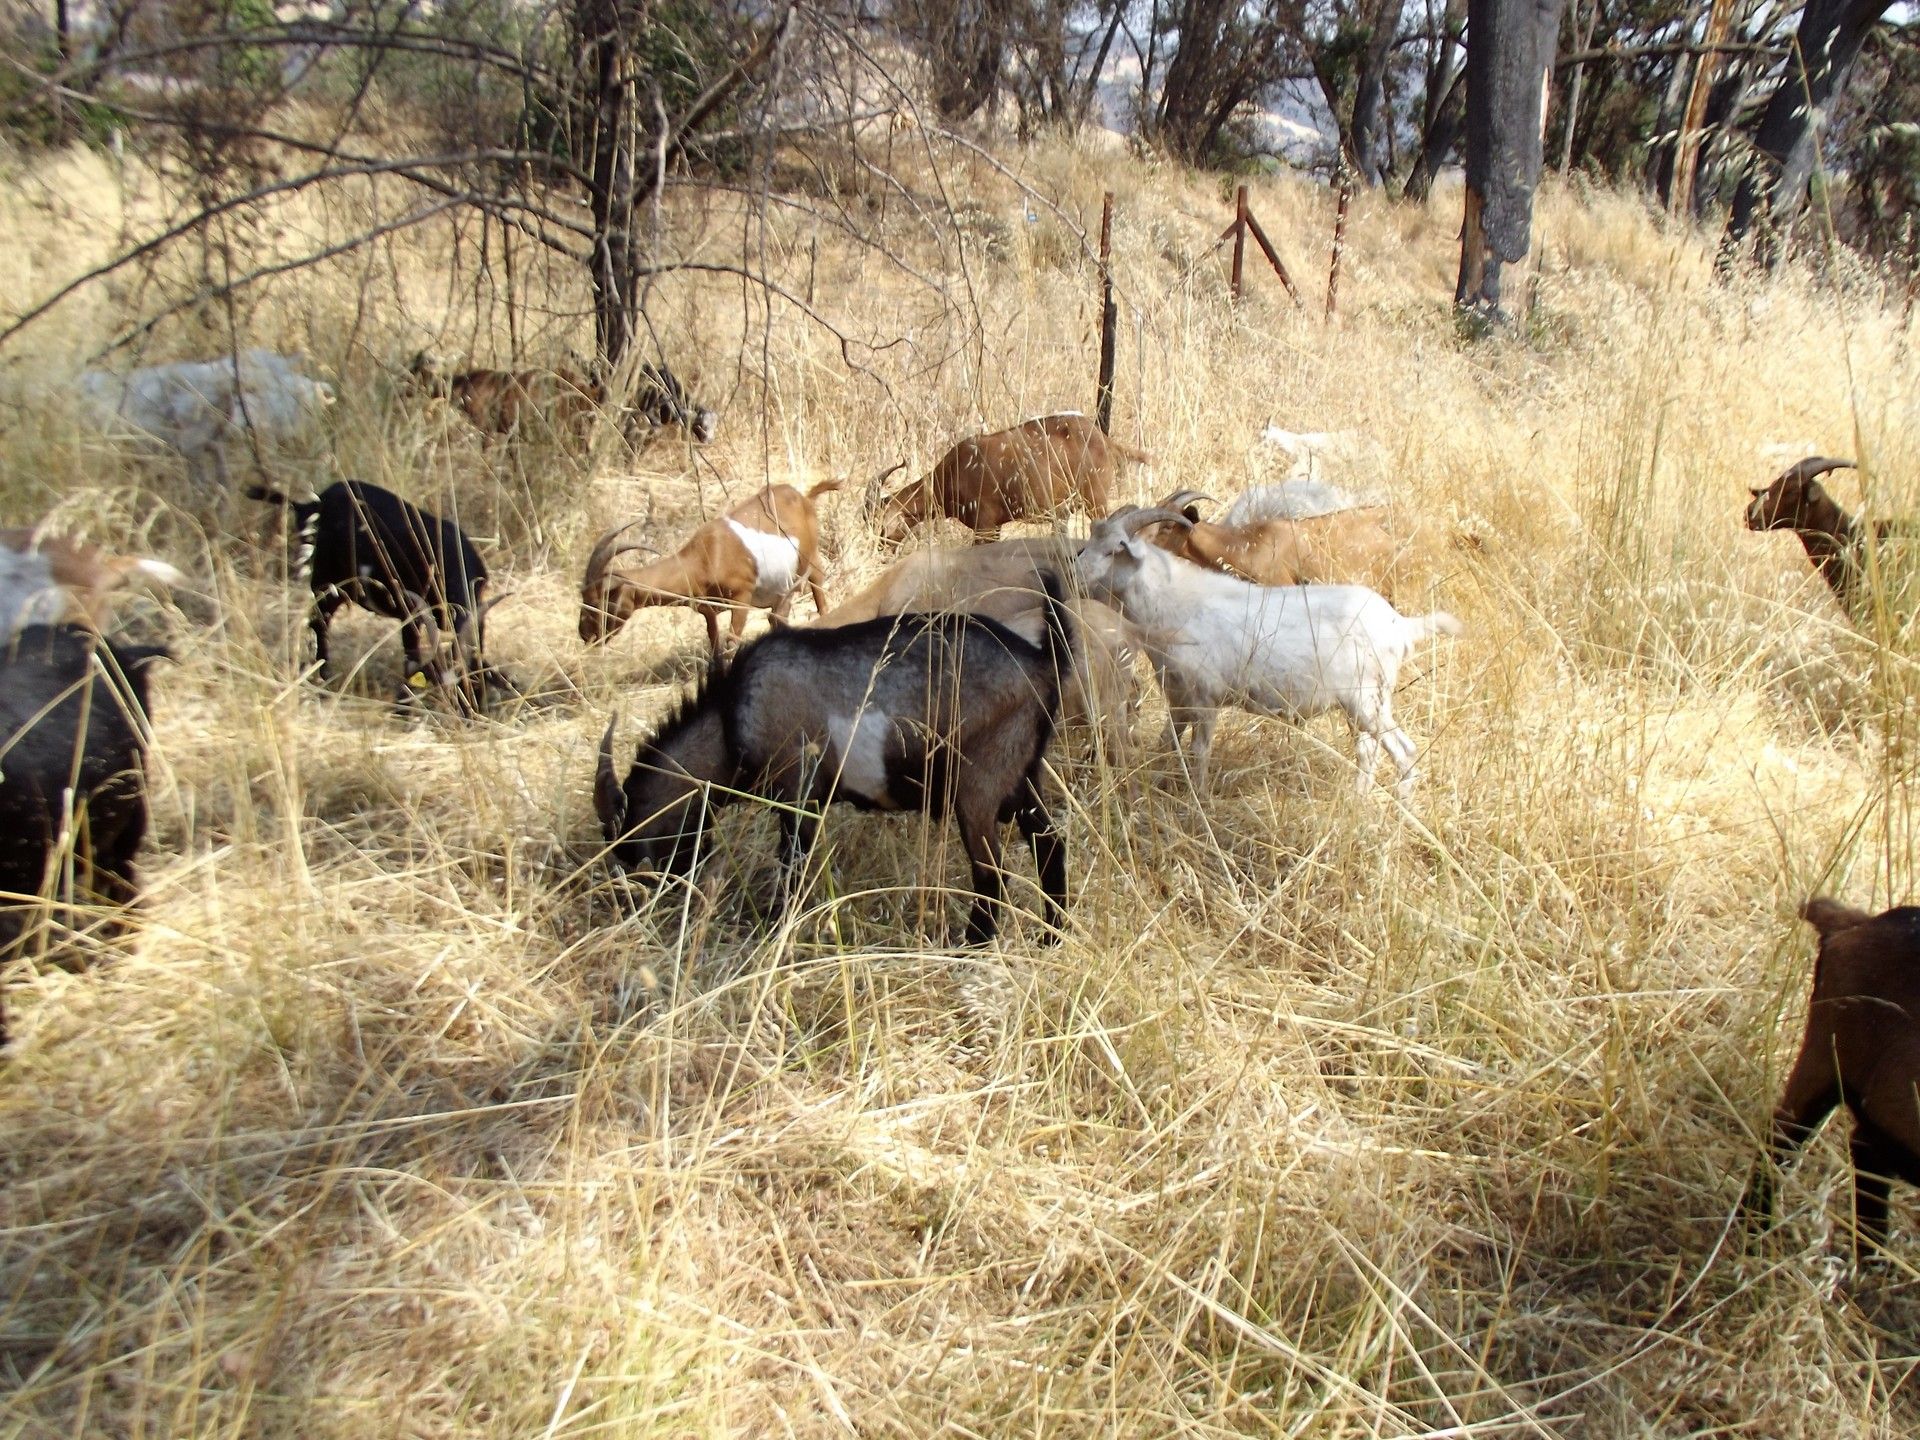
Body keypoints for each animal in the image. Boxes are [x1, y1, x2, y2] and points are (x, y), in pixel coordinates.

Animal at [248, 480, 507, 709]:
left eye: (476, 682)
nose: (469, 714)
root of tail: (313, 504)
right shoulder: (410, 612)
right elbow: (411, 657)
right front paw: (403, 706)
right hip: (324, 582)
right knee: (319, 625)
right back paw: (323, 678)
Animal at [581, 482, 838, 656]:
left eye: (598, 601)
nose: (584, 634)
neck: (706, 555)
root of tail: (803, 497)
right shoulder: (708, 611)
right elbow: (715, 646)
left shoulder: (742, 597)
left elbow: (731, 643)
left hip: (811, 560)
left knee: (819, 590)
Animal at [596, 572, 1076, 945]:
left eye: (632, 852)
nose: (651, 907)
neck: (729, 718)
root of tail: (1042, 660)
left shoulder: (797, 793)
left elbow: (792, 870)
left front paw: (774, 932)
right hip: (1022, 774)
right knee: (1049, 843)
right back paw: (1052, 936)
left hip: (979, 785)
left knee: (992, 875)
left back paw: (971, 949)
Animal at [880, 413, 1152, 545]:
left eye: (880, 523)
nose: (881, 548)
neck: (954, 470)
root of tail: (1106, 441)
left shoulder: (986, 526)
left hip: (1095, 502)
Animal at [1075, 506, 1462, 795]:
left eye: (1114, 549)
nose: (1075, 571)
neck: (1175, 602)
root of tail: (1400, 625)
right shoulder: (1180, 698)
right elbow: (1167, 742)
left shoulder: (1205, 697)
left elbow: (1200, 752)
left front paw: (1199, 799)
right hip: (1364, 706)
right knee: (1368, 752)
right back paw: (1358, 801)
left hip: (1367, 700)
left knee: (1404, 751)